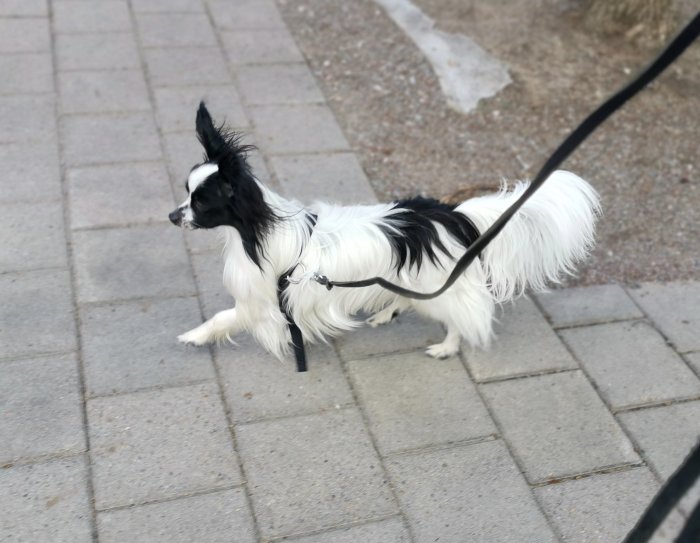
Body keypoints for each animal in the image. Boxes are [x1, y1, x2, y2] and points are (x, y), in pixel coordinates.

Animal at [170, 104, 600, 364]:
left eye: (201, 203)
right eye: (185, 192)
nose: (173, 216)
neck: (254, 233)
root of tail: (453, 216)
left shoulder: (260, 302)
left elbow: (223, 318)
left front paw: (194, 336)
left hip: (435, 290)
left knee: (462, 317)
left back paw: (446, 347)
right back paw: (386, 312)